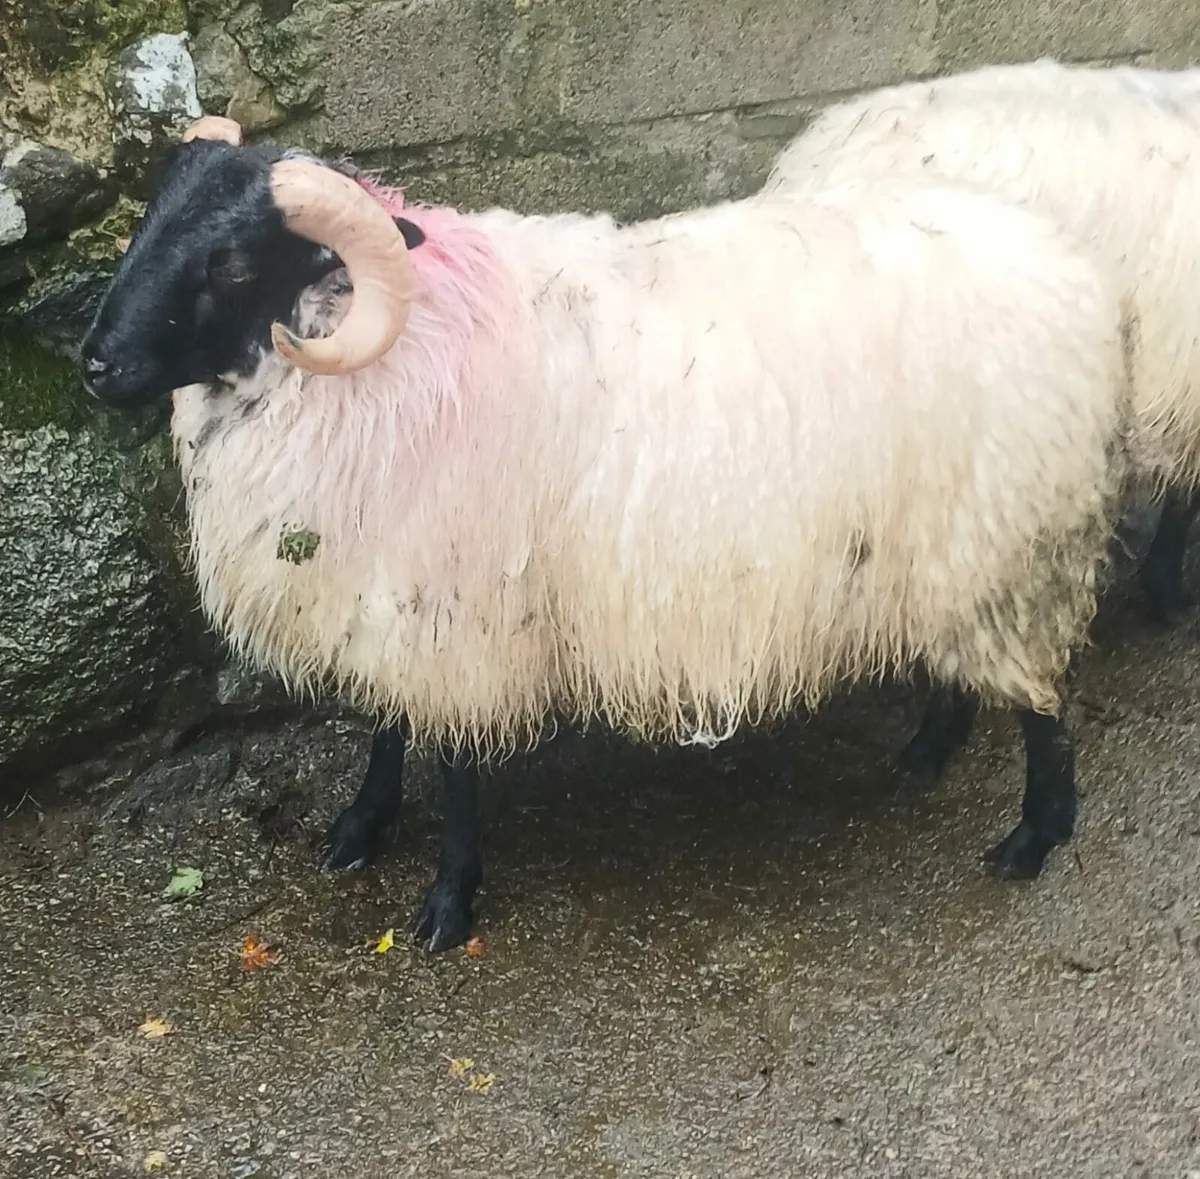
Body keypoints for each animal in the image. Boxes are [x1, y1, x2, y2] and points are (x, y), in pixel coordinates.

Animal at [80, 115, 1133, 950]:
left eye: (233, 262)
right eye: (148, 223)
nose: (93, 365)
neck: (391, 349)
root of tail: (1068, 265)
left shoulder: (456, 607)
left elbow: (451, 768)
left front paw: (448, 904)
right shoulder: (384, 582)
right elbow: (386, 728)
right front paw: (357, 831)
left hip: (1013, 535)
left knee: (1045, 705)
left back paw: (1035, 837)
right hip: (952, 542)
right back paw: (926, 753)